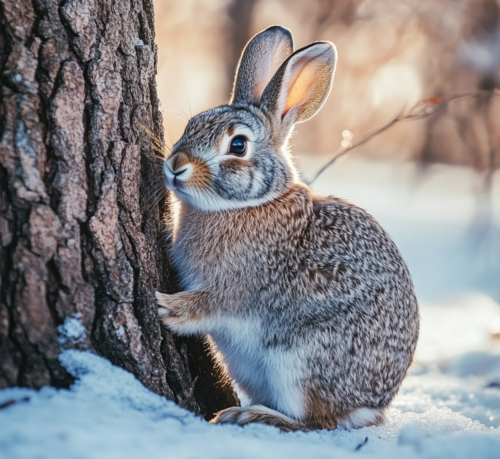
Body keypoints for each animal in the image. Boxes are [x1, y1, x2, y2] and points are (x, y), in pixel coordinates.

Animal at [156, 25, 418, 434]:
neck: (249, 205)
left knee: (316, 422)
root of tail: (370, 408)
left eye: (237, 145)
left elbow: (214, 303)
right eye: (192, 123)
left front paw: (168, 308)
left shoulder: (242, 286)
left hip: (299, 360)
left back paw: (248, 415)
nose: (175, 165)